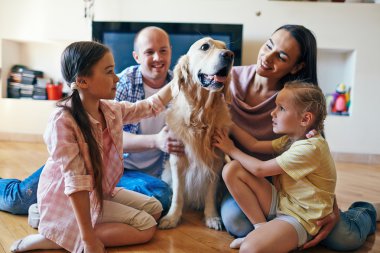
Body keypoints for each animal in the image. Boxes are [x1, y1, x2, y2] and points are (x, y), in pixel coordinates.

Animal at [158, 38, 235, 231]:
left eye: (225, 47)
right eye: (205, 46)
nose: (229, 55)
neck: (201, 115)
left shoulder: (216, 161)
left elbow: (210, 193)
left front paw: (212, 217)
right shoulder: (177, 159)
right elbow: (178, 194)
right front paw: (172, 217)